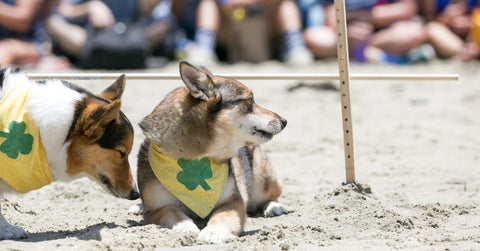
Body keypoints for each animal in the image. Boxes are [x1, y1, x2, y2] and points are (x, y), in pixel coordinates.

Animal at [138, 60, 288, 243]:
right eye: (250, 100)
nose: (284, 121)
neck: (196, 160)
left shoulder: (234, 202)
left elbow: (221, 216)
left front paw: (212, 232)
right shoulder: (154, 210)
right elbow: (172, 211)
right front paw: (185, 226)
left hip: (261, 177)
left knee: (269, 196)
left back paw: (273, 206)